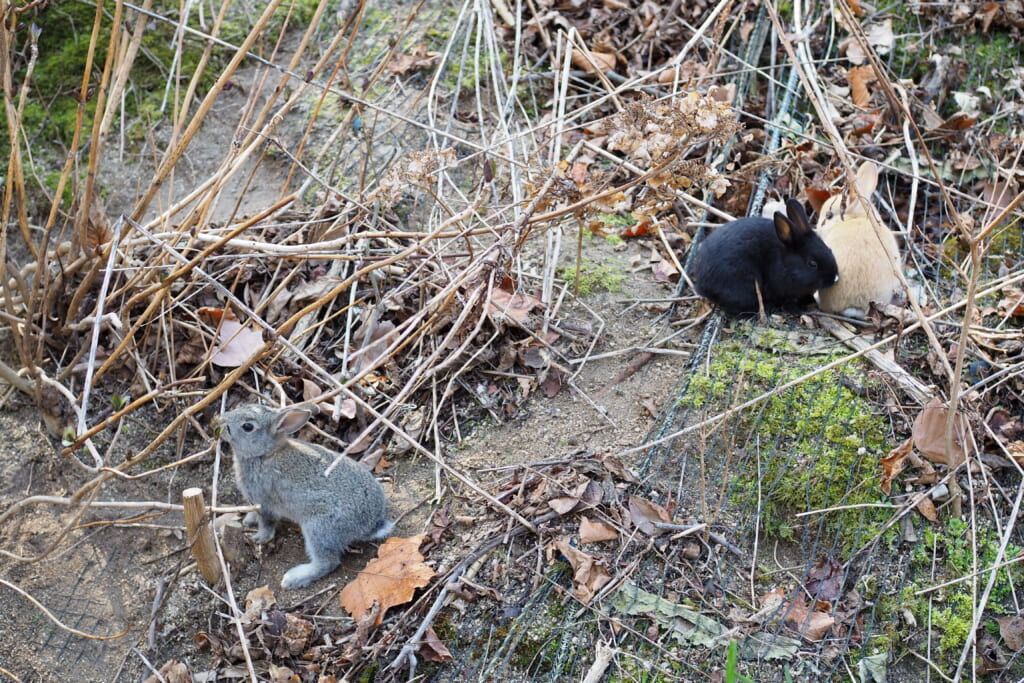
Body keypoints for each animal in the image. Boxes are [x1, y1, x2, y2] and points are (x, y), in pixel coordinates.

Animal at [216, 403, 391, 589]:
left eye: (248, 426)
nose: (220, 421)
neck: (263, 454)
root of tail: (371, 524)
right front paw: (248, 520)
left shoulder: (264, 503)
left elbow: (267, 525)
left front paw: (257, 538)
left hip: (319, 528)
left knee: (328, 562)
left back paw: (294, 578)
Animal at [688, 196, 839, 317]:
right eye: (812, 264)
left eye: (830, 249)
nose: (835, 277)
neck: (785, 263)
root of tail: (702, 284)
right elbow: (788, 302)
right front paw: (798, 310)